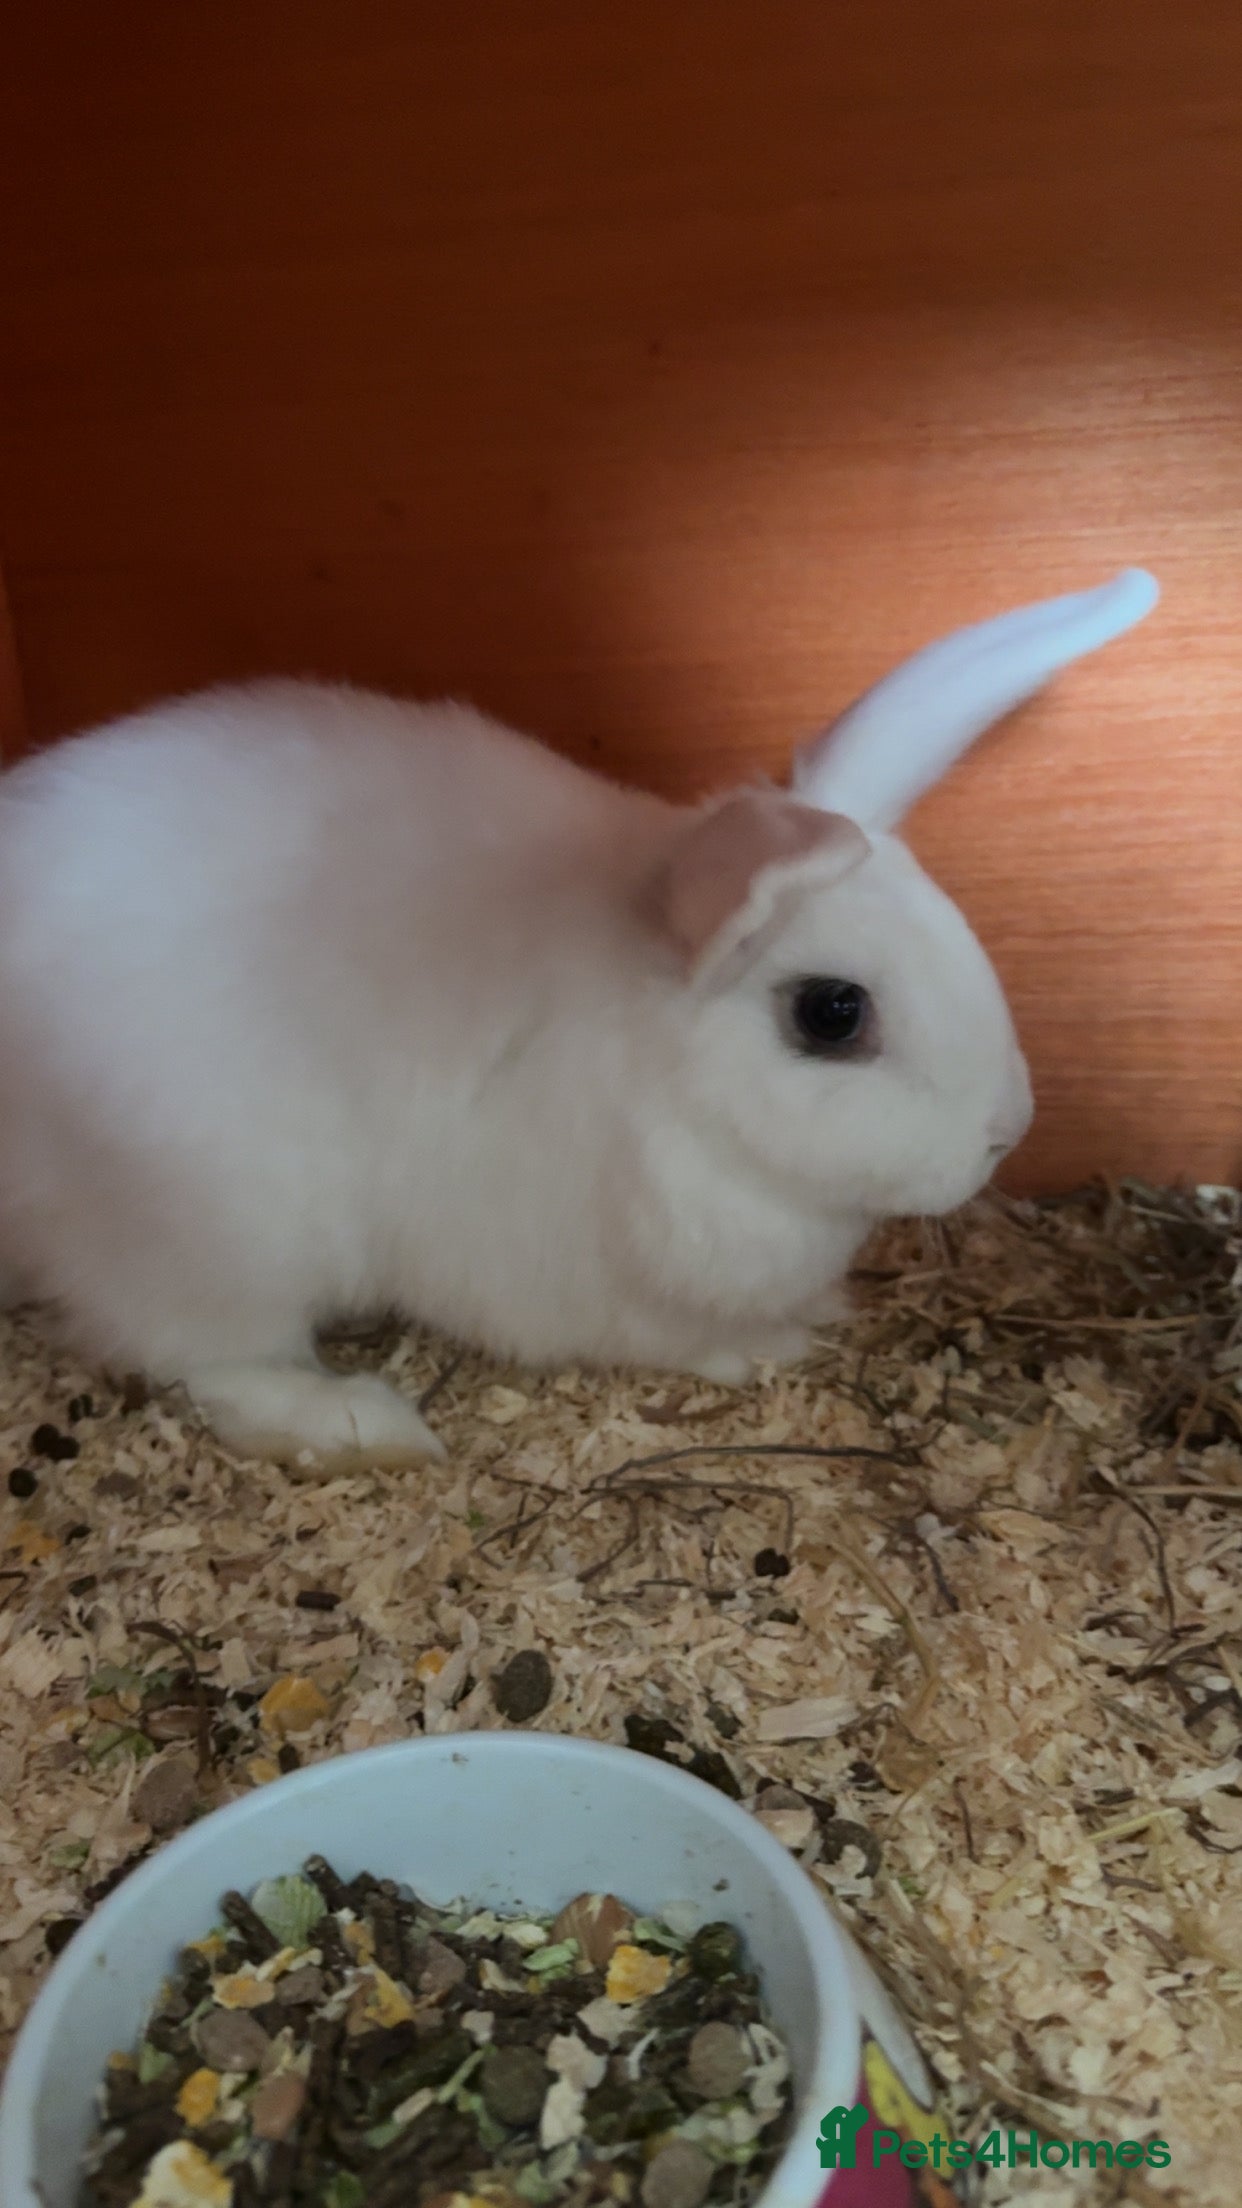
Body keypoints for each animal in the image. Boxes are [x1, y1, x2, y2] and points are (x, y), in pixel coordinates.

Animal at [0, 568, 1158, 1469]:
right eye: (832, 1014)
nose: (1006, 1132)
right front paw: (766, 1346)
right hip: (223, 1233)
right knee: (208, 1358)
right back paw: (359, 1425)